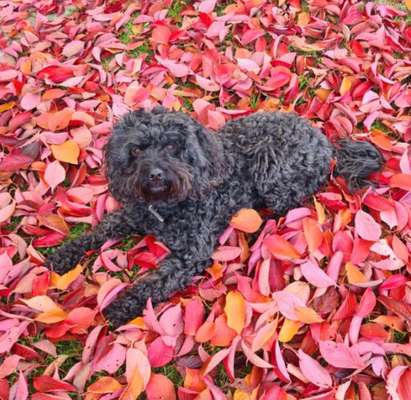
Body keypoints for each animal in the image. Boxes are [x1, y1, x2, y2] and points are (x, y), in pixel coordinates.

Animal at [46, 108, 384, 326]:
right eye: (137, 150)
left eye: (172, 146)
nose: (155, 173)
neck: (165, 206)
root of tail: (324, 141)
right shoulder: (131, 215)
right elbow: (97, 231)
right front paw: (64, 254)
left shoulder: (190, 255)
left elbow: (152, 283)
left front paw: (121, 306)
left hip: (272, 168)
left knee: (290, 202)